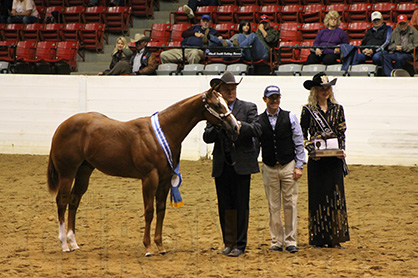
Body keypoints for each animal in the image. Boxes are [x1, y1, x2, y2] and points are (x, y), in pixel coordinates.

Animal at [46, 88, 238, 258]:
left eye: (225, 102)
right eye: (217, 105)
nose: (236, 127)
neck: (161, 133)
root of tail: (62, 126)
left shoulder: (165, 180)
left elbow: (161, 210)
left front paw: (160, 246)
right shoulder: (149, 178)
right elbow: (149, 211)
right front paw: (148, 248)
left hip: (84, 171)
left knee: (74, 201)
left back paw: (74, 243)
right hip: (67, 173)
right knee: (62, 201)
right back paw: (64, 244)